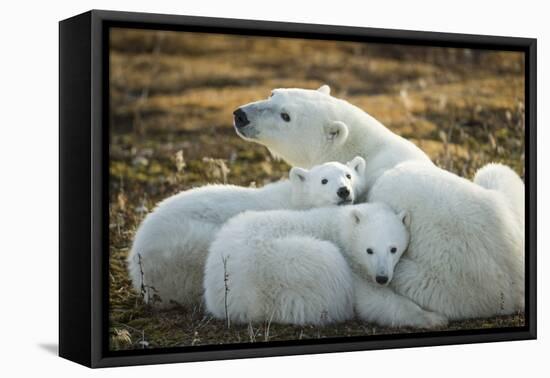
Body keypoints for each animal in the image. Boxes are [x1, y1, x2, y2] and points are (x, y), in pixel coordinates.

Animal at [205, 201, 446, 328]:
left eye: (393, 249)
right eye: (369, 250)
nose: (382, 277)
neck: (341, 228)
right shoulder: (351, 264)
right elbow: (373, 301)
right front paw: (435, 318)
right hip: (284, 268)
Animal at [234, 85, 528, 322]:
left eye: (286, 115)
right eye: (273, 93)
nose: (240, 115)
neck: (365, 148)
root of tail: (514, 284)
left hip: (447, 284)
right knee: (494, 171)